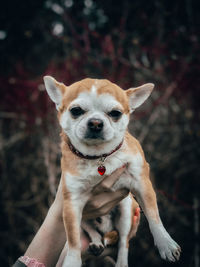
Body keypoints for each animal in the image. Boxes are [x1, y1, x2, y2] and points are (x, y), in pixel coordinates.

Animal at [43, 76, 181, 266]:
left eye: (115, 113)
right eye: (76, 111)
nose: (95, 123)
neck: (98, 157)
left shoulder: (142, 184)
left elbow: (154, 216)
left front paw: (165, 244)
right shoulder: (72, 203)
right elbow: (73, 239)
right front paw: (72, 261)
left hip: (127, 209)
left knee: (123, 242)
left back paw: (121, 260)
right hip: (84, 217)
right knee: (90, 230)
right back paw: (96, 242)